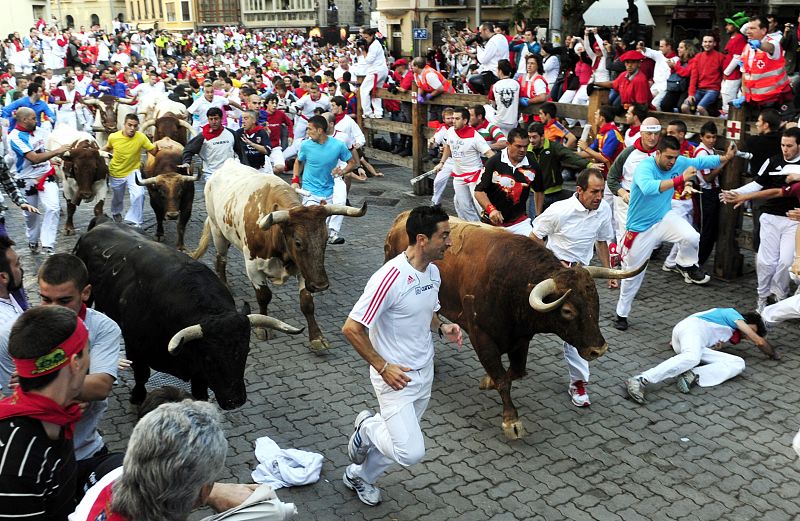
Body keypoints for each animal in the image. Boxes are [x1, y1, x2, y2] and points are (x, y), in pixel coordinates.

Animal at [75, 221, 304, 408]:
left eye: (245, 351)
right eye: (211, 358)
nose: (235, 401)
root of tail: (99, 226)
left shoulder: (199, 372)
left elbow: (200, 392)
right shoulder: (134, 346)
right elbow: (141, 375)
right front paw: (137, 397)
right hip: (86, 296)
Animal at [194, 158, 368, 350]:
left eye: (324, 240)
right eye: (298, 242)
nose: (321, 285)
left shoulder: (303, 269)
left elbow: (307, 302)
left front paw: (317, 337)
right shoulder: (253, 267)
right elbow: (264, 296)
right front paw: (263, 328)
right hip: (218, 231)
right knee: (221, 258)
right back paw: (224, 284)